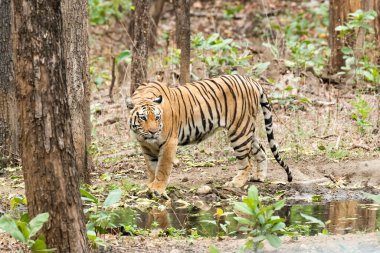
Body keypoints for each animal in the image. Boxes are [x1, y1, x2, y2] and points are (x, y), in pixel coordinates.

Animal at [126, 74, 292, 197]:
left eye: (157, 117)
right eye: (143, 118)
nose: (153, 132)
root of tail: (252, 81)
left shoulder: (169, 143)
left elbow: (162, 168)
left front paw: (157, 189)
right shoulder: (146, 146)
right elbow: (151, 167)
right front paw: (150, 185)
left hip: (239, 131)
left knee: (246, 162)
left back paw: (236, 182)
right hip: (246, 130)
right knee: (261, 150)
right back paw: (259, 177)